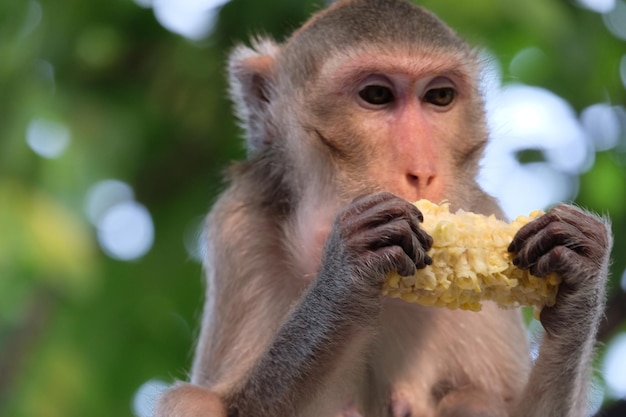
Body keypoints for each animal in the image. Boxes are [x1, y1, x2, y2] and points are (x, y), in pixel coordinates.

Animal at [154, 0, 612, 416]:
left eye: (439, 96)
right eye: (376, 95)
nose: (422, 172)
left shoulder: (487, 209)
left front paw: (580, 277)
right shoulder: (239, 225)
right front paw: (345, 275)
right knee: (189, 400)